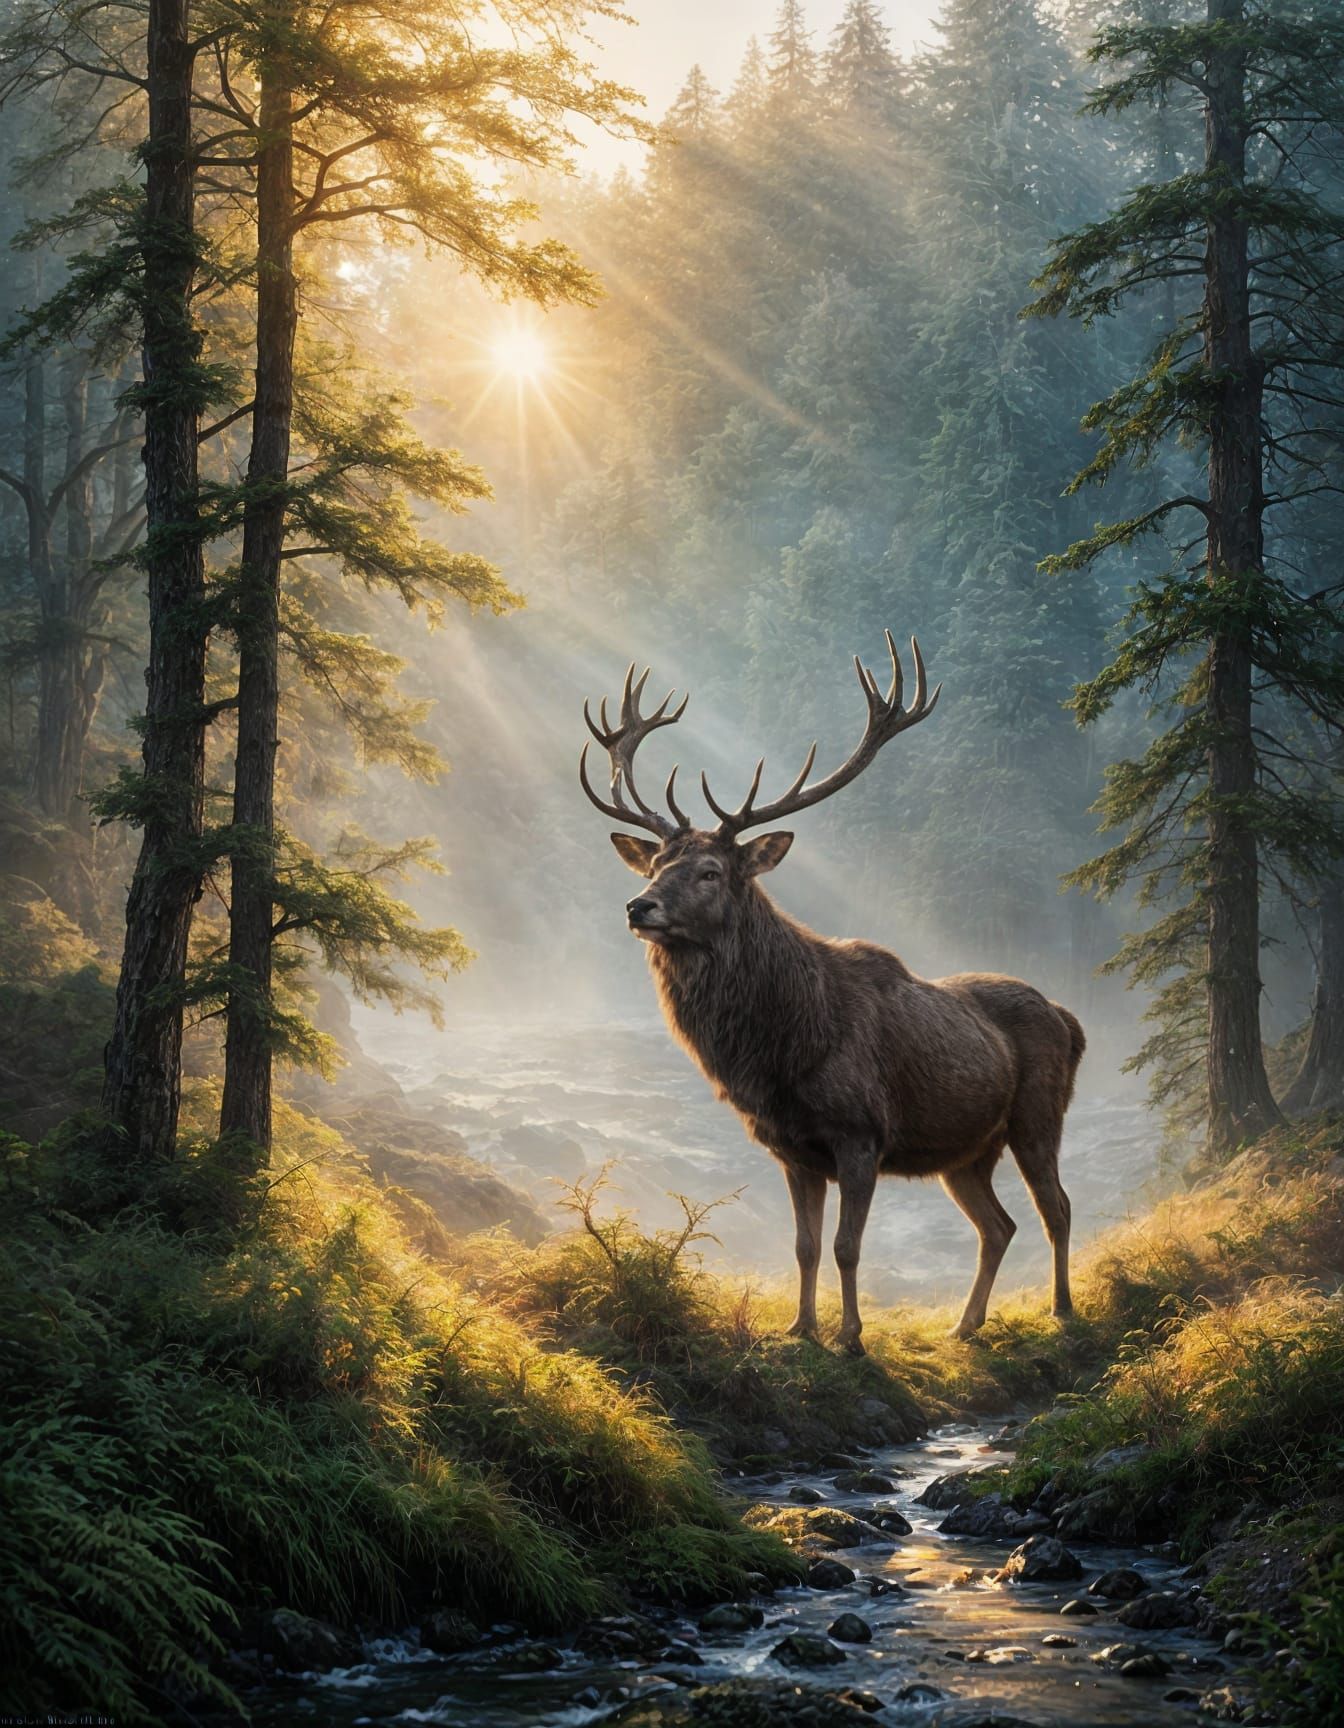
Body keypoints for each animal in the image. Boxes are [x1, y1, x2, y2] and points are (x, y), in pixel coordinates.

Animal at [578, 630, 1085, 1353]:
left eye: (710, 871)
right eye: (653, 863)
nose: (638, 906)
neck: (784, 1048)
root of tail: (1071, 1020)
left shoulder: (861, 1132)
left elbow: (847, 1246)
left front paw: (850, 1336)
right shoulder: (794, 1149)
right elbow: (805, 1247)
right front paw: (801, 1329)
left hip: (1038, 1113)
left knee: (1056, 1208)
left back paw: (1062, 1309)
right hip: (966, 1151)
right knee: (998, 1224)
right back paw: (965, 1323)